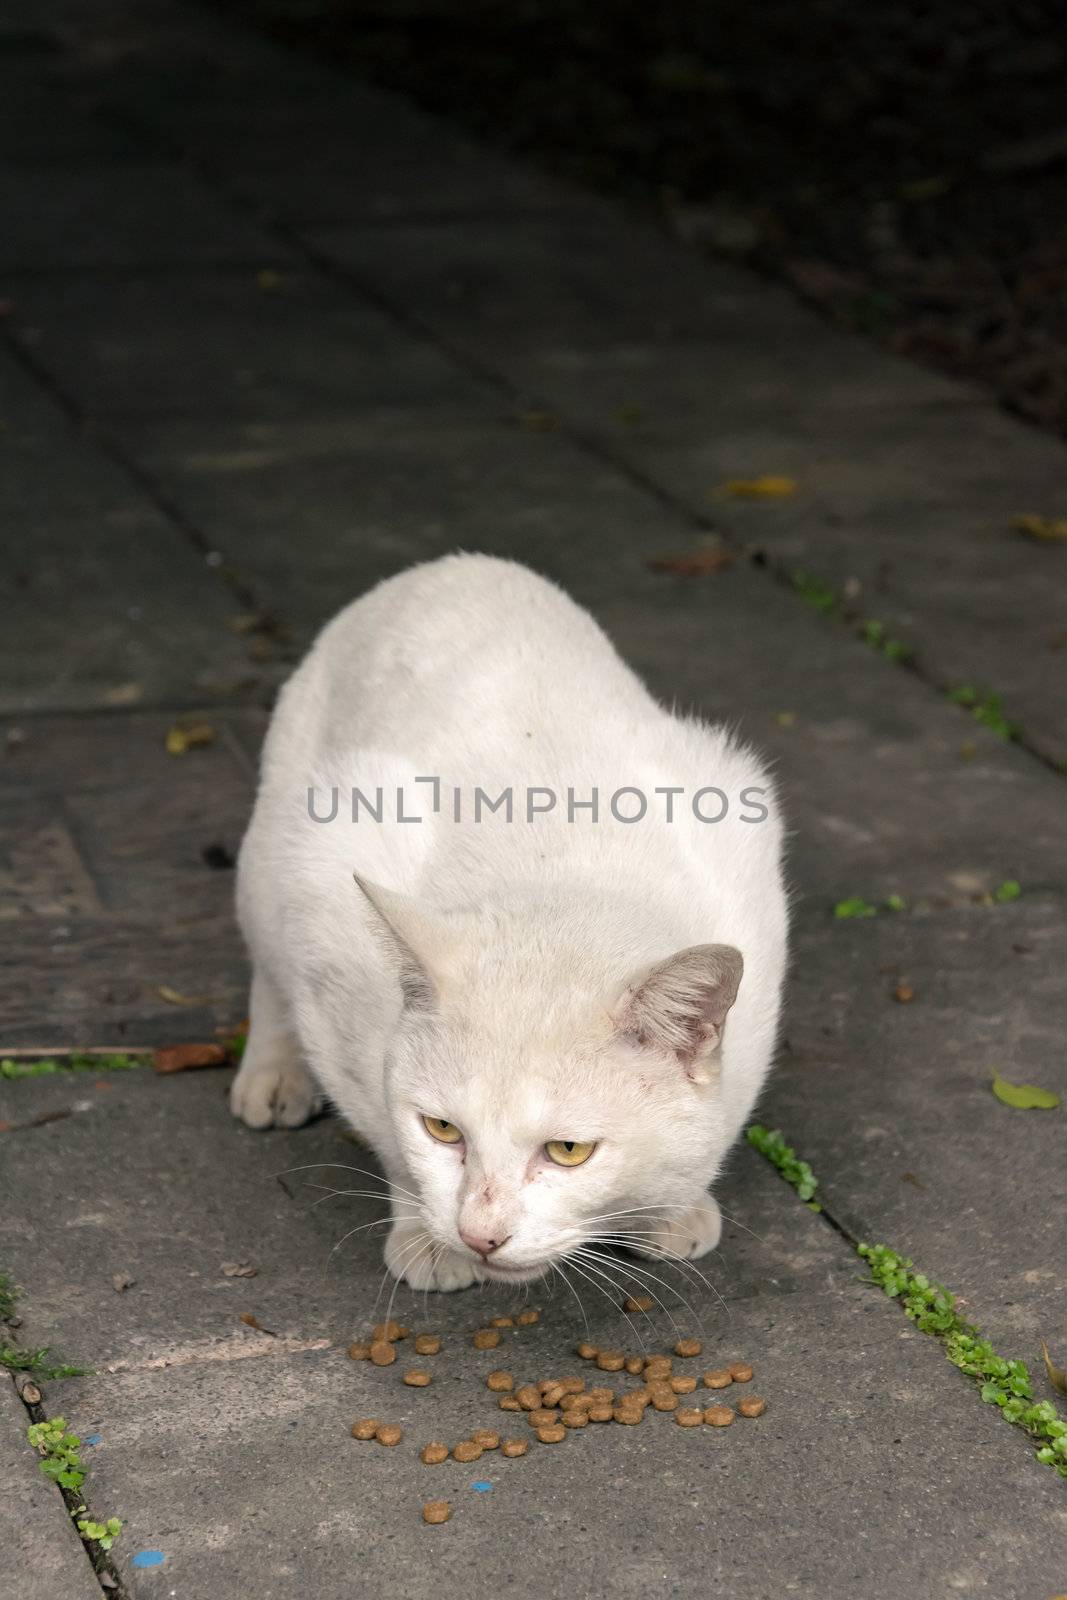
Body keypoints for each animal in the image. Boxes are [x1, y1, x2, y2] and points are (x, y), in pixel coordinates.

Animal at [230, 556, 790, 1292]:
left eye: (568, 1150)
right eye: (442, 1130)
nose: (481, 1234)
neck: (564, 872)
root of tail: (448, 565)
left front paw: (674, 1208)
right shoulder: (330, 927)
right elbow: (384, 1131)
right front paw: (426, 1237)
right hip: (277, 852)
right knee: (268, 968)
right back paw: (273, 1074)